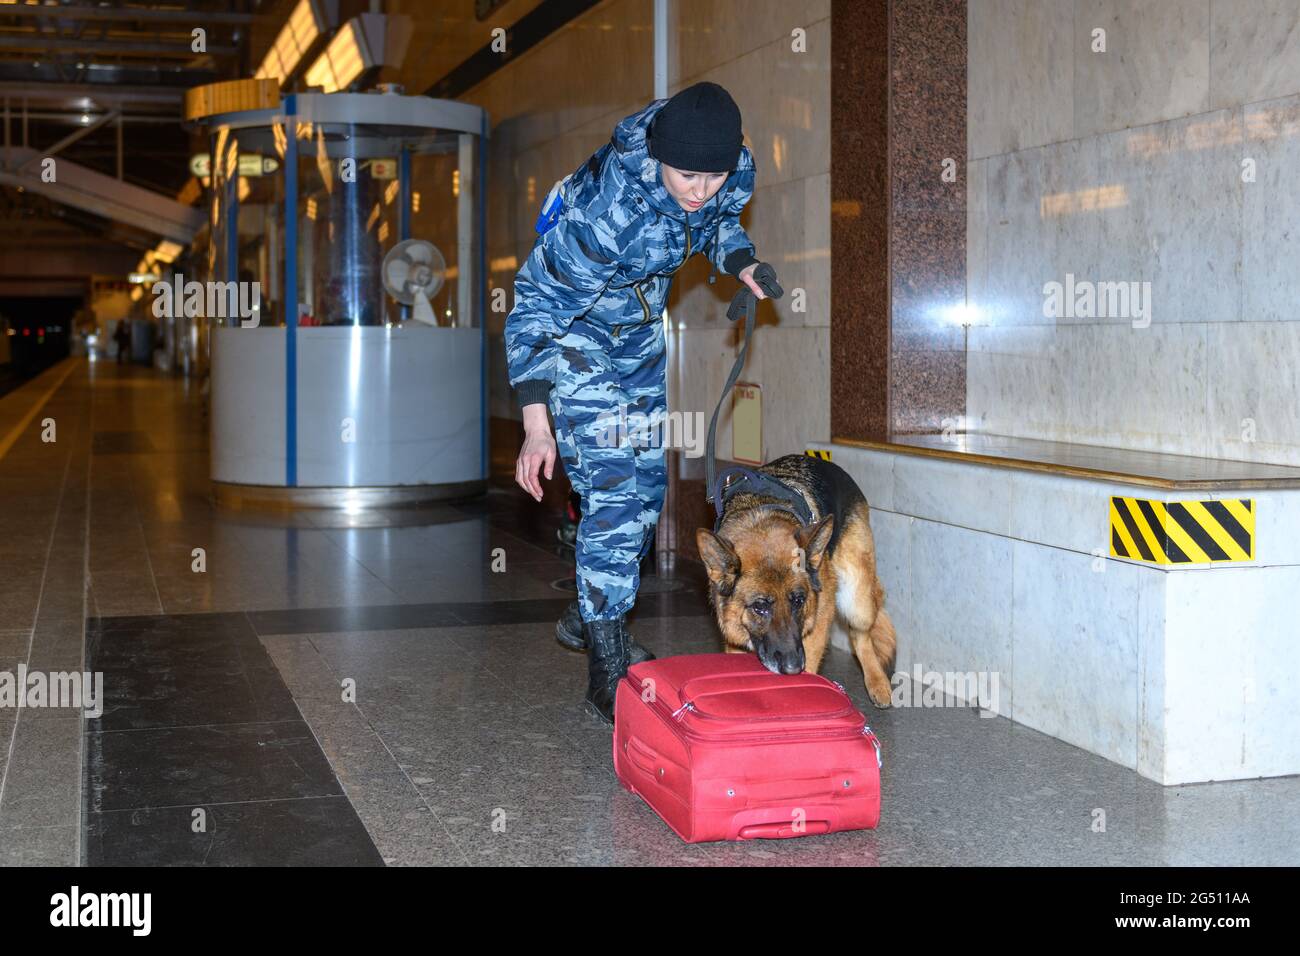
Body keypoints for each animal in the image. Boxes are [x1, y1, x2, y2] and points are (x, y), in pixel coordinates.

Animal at [696, 452, 899, 707]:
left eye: (798, 601)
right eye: (759, 607)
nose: (793, 668)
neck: (760, 521)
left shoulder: (818, 620)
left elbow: (811, 663)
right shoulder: (735, 639)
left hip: (857, 601)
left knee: (860, 634)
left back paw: (877, 682)